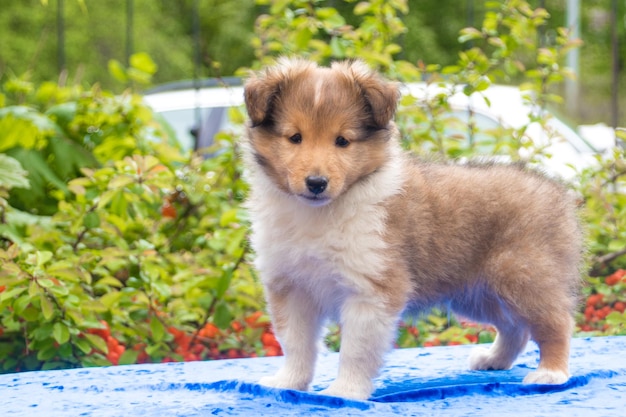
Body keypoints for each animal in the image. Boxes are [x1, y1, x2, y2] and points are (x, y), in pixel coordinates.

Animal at [239, 58, 580, 400]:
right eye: (295, 137)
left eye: (342, 140)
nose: (316, 183)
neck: (321, 213)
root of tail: (558, 192)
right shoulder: (291, 287)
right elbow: (296, 344)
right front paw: (287, 384)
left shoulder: (372, 289)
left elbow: (354, 350)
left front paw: (344, 392)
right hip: (479, 294)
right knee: (515, 329)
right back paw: (492, 359)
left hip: (525, 279)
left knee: (556, 323)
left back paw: (550, 373)